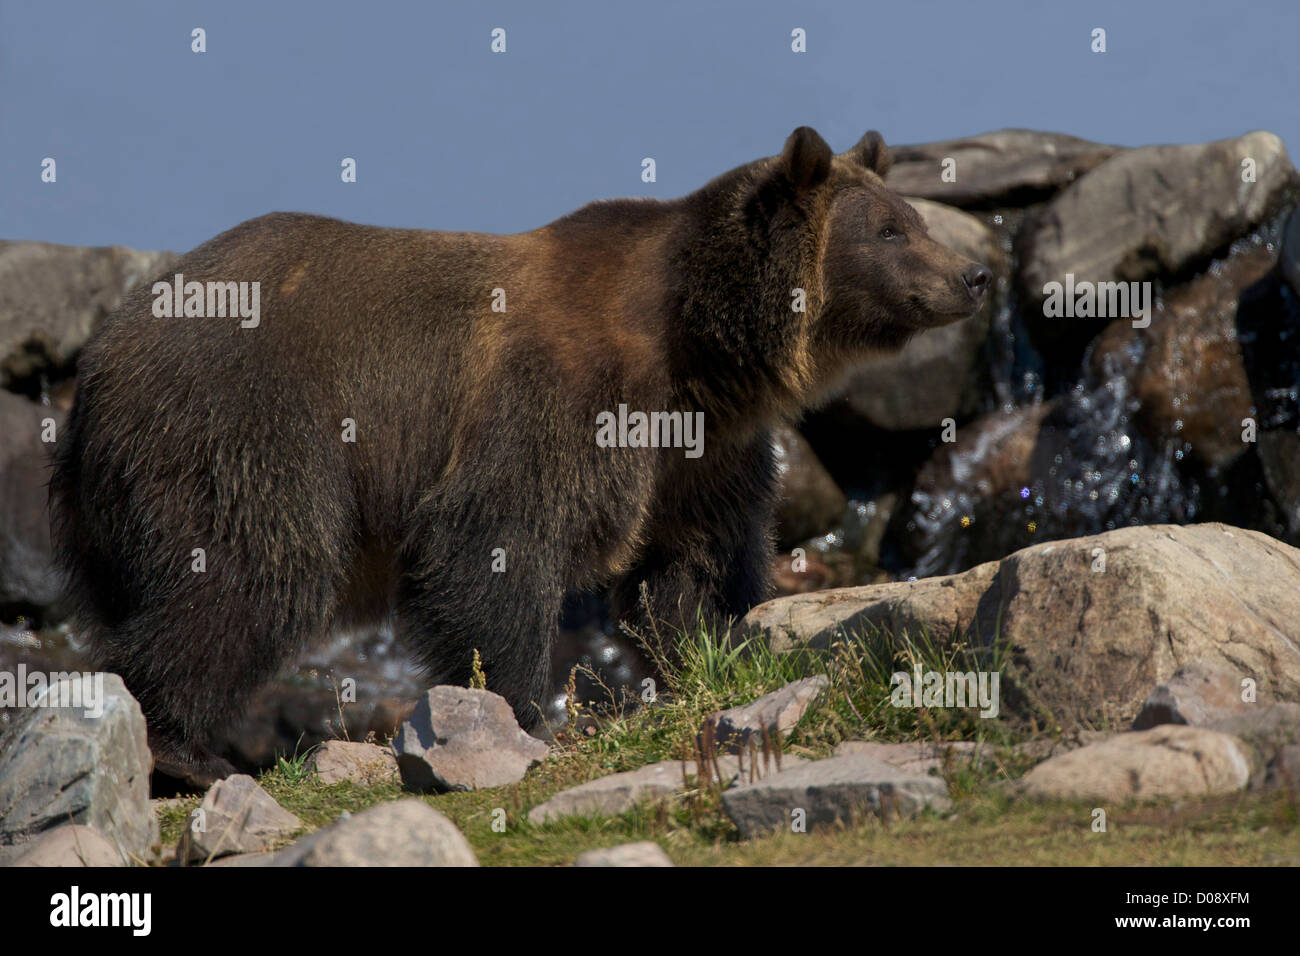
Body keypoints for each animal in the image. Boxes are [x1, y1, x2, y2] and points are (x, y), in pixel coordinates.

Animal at [48, 127, 982, 785]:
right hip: (243, 420)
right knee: (252, 566)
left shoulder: (700, 452)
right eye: (891, 228)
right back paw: (181, 743)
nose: (972, 275)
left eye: (916, 219)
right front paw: (527, 716)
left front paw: (716, 648)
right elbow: (495, 538)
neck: (698, 345)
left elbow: (697, 564)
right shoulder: (565, 392)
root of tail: (100, 358)